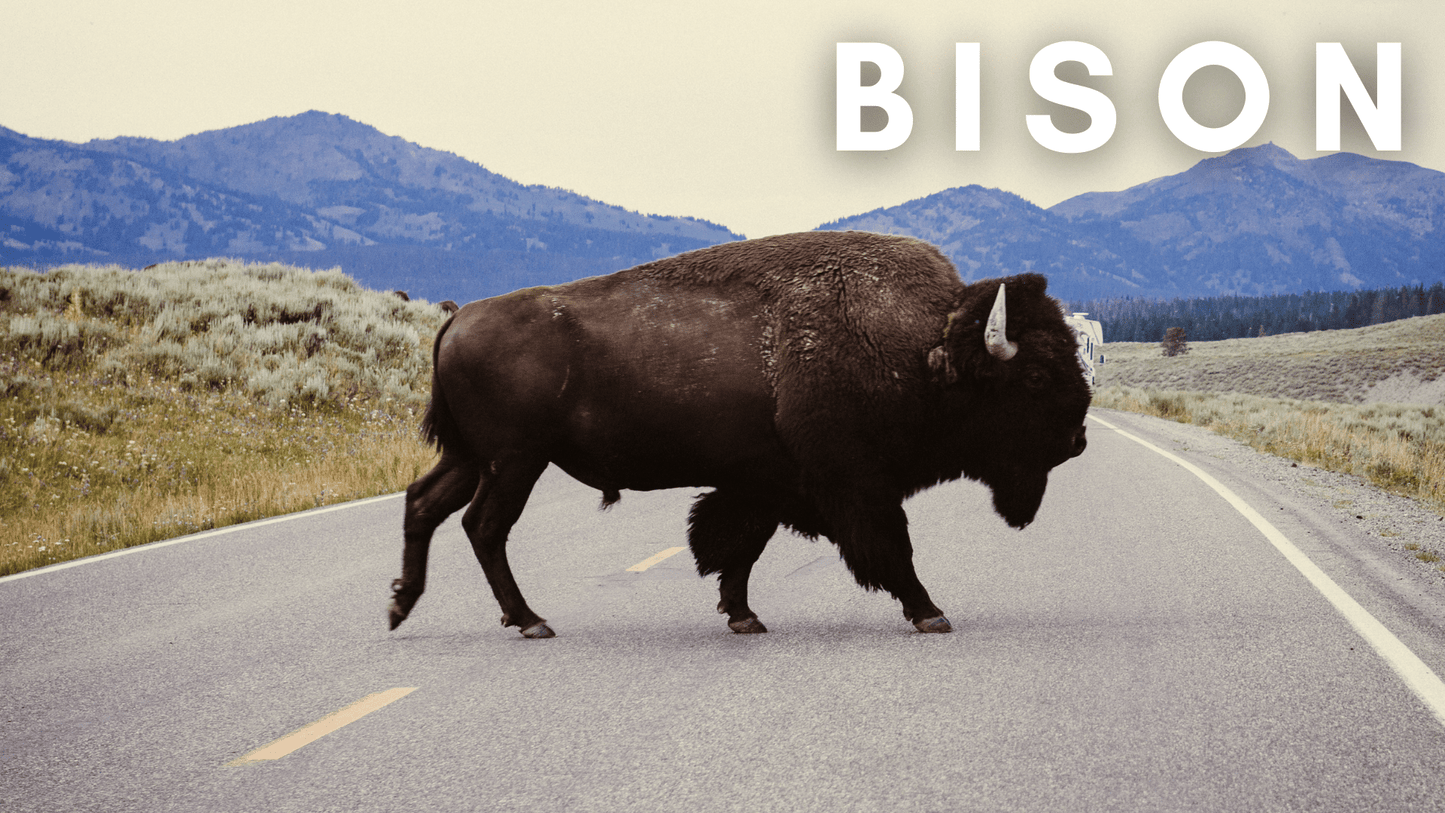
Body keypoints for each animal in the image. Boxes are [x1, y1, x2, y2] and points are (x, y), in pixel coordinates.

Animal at [389, 231, 1090, 637]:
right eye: (1035, 376)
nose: (1078, 439)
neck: (924, 350)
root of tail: (457, 320)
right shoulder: (853, 485)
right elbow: (891, 548)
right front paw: (930, 613)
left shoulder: (768, 484)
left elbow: (737, 547)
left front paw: (744, 616)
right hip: (514, 461)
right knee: (484, 526)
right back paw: (530, 621)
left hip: (473, 458)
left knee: (425, 504)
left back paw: (404, 606)